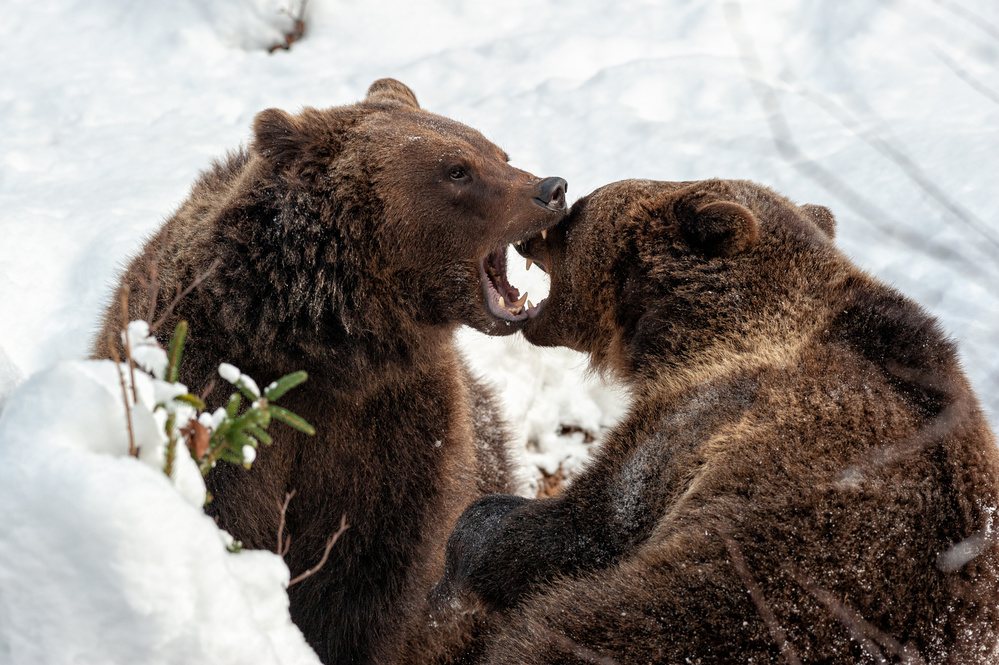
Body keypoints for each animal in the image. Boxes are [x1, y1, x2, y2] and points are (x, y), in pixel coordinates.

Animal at [94, 79, 568, 664]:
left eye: (498, 152)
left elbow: (369, 578)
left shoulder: (397, 429)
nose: (551, 188)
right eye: (457, 170)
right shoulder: (207, 383)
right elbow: (223, 513)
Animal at [434, 178, 999, 664]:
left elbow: (596, 521)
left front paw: (469, 546)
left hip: (707, 615)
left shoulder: (704, 415)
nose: (532, 232)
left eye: (579, 210)